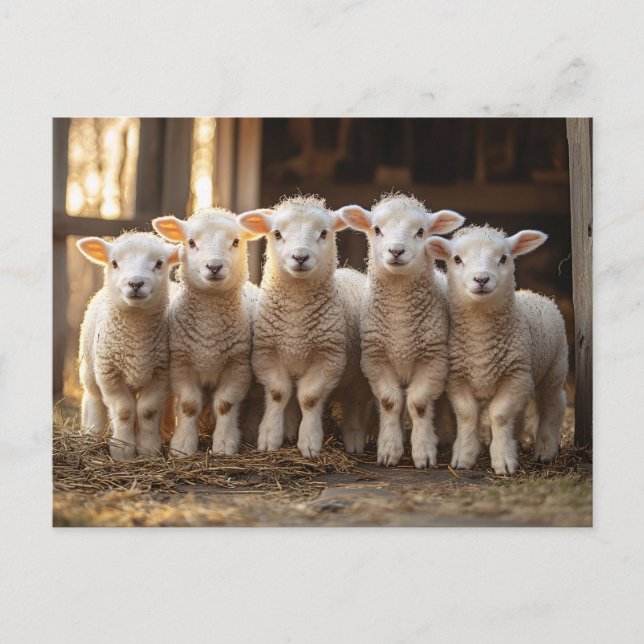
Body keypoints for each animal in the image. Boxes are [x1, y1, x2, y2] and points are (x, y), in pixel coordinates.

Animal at [76, 232, 179, 461]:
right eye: (114, 263)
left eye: (159, 263)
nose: (136, 283)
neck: (136, 341)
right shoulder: (109, 373)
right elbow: (124, 411)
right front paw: (122, 451)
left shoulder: (161, 373)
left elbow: (147, 411)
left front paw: (148, 449)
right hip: (90, 369)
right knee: (93, 399)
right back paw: (91, 433)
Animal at [152, 208, 260, 457]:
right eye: (191, 242)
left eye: (236, 241)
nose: (214, 267)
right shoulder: (181, 363)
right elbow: (189, 405)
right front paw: (182, 446)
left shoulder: (238, 365)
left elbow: (225, 404)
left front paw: (225, 444)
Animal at [237, 195, 371, 459]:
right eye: (277, 233)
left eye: (324, 233)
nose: (300, 257)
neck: (296, 323)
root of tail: (352, 272)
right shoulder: (266, 353)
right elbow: (279, 393)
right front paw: (270, 438)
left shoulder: (329, 358)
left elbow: (309, 397)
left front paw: (309, 443)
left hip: (358, 375)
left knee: (355, 403)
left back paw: (354, 440)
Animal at [339, 194, 465, 468]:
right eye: (376, 229)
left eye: (421, 232)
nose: (396, 251)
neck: (400, 323)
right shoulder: (376, 359)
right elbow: (390, 403)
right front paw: (389, 450)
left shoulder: (433, 361)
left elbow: (418, 404)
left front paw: (424, 452)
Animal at [427, 225, 568, 475]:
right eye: (457, 259)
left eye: (503, 258)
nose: (481, 279)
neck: (480, 341)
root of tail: (535, 293)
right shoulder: (457, 379)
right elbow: (467, 414)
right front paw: (464, 457)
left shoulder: (515, 377)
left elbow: (499, 415)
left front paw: (503, 461)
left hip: (555, 367)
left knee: (554, 404)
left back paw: (545, 450)